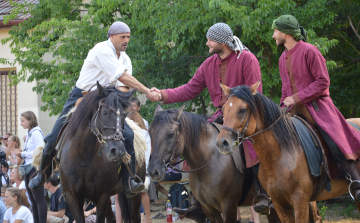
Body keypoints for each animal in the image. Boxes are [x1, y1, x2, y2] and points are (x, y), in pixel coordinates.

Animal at [59, 83, 145, 223]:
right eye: (105, 112)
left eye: (124, 115)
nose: (118, 151)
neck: (84, 158)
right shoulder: (73, 198)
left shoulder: (102, 196)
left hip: (134, 196)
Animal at [147, 104, 284, 223]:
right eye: (150, 133)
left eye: (170, 134)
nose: (153, 171)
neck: (211, 159)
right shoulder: (209, 210)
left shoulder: (229, 207)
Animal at [217, 82, 360, 223]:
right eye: (223, 110)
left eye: (242, 110)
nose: (222, 143)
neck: (280, 155)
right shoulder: (280, 204)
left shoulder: (300, 201)